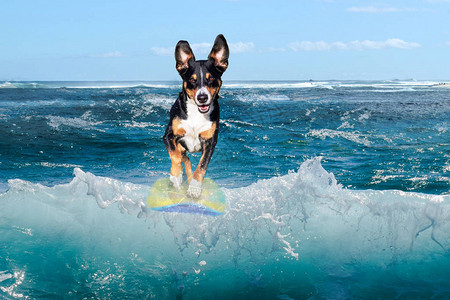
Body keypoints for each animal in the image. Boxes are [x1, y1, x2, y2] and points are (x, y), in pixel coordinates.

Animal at [163, 34, 230, 198]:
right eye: (192, 80)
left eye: (211, 78)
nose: (202, 97)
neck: (196, 113)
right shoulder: (168, 136)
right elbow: (174, 155)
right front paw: (176, 175)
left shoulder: (210, 142)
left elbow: (202, 166)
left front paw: (194, 187)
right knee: (184, 158)